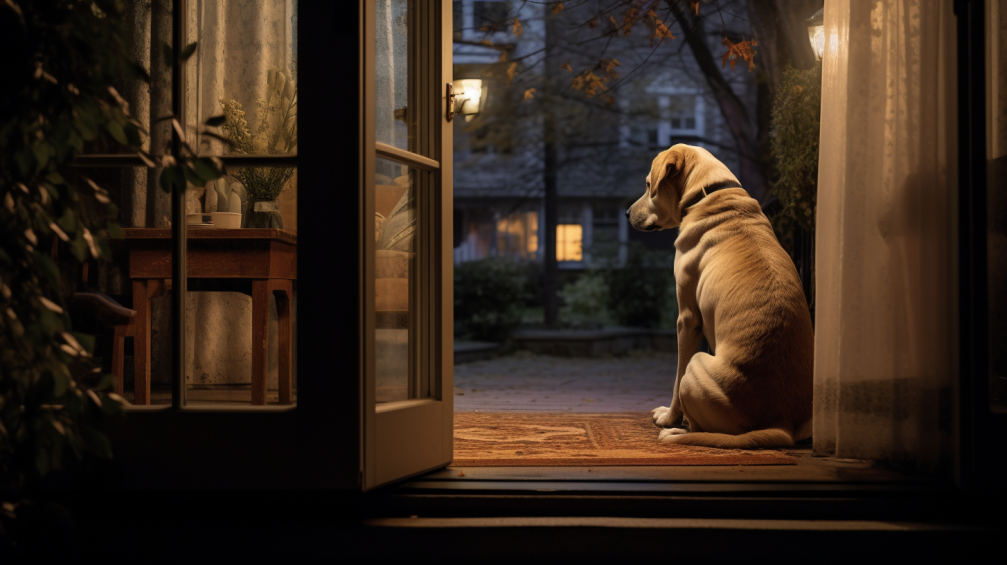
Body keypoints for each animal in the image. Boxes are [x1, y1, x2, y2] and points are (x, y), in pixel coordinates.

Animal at [628, 143, 817, 447]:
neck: (708, 193)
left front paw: (669, 417)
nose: (626, 213)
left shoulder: (687, 320)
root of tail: (781, 422)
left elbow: (675, 379)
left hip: (696, 365)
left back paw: (677, 431)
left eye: (648, 185)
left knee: (701, 425)